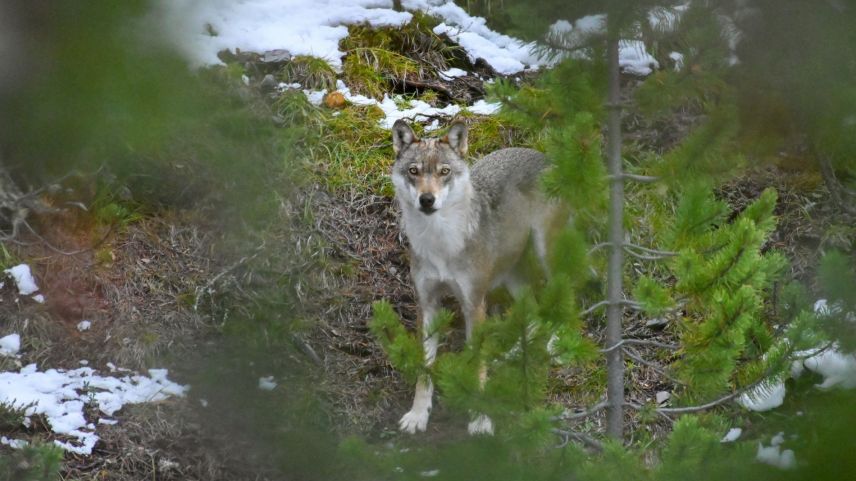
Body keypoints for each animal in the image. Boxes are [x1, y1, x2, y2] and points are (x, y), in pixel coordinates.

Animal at [390, 119, 565, 435]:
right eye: (414, 171)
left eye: (444, 172)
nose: (427, 200)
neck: (440, 243)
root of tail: (544, 156)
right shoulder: (428, 304)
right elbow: (425, 369)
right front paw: (418, 415)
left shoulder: (474, 305)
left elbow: (477, 365)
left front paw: (481, 419)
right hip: (512, 275)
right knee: (533, 310)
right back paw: (513, 351)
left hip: (546, 255)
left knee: (568, 290)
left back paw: (556, 344)